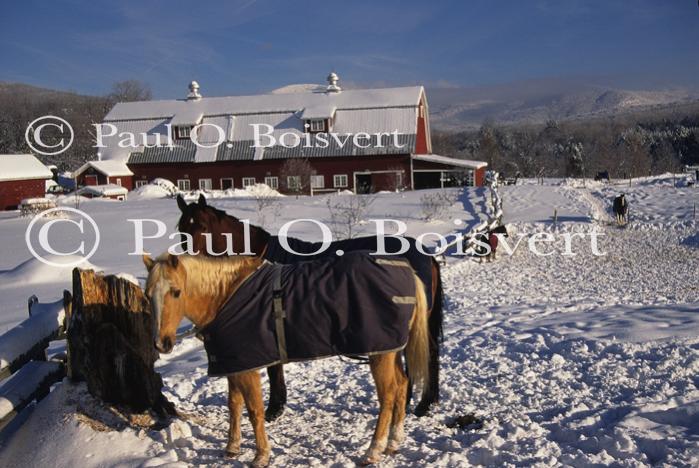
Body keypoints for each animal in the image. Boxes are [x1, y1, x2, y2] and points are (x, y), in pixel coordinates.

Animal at [143, 252, 430, 467]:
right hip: (390, 350)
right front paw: (232, 447)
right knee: (402, 385)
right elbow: (234, 405)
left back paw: (373, 451)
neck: (227, 296)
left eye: (176, 292)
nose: (161, 343)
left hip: (379, 354)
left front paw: (261, 456)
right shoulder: (233, 364)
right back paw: (393, 442)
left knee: (388, 395)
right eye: (147, 295)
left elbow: (254, 410)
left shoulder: (247, 368)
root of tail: (407, 272)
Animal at [175, 194, 444, 420]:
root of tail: (425, 255)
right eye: (181, 230)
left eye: (203, 227)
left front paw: (274, 409)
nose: (186, 266)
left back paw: (418, 404)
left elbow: (274, 370)